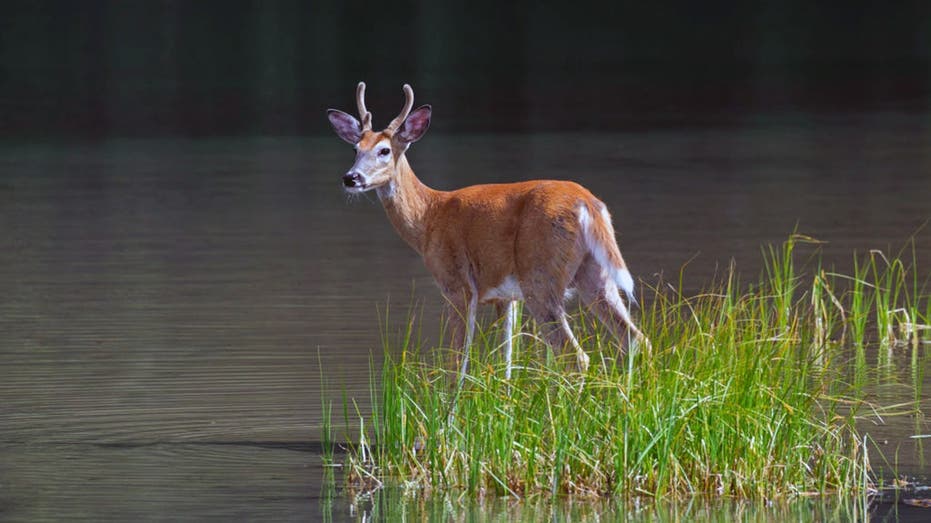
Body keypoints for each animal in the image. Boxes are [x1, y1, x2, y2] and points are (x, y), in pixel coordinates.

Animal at [327, 82, 648, 383]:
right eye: (355, 149)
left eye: (384, 150)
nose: (351, 178)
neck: (429, 217)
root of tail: (588, 204)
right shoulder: (506, 298)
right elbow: (506, 364)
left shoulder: (458, 285)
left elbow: (457, 364)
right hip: (594, 274)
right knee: (634, 338)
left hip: (541, 277)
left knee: (575, 355)